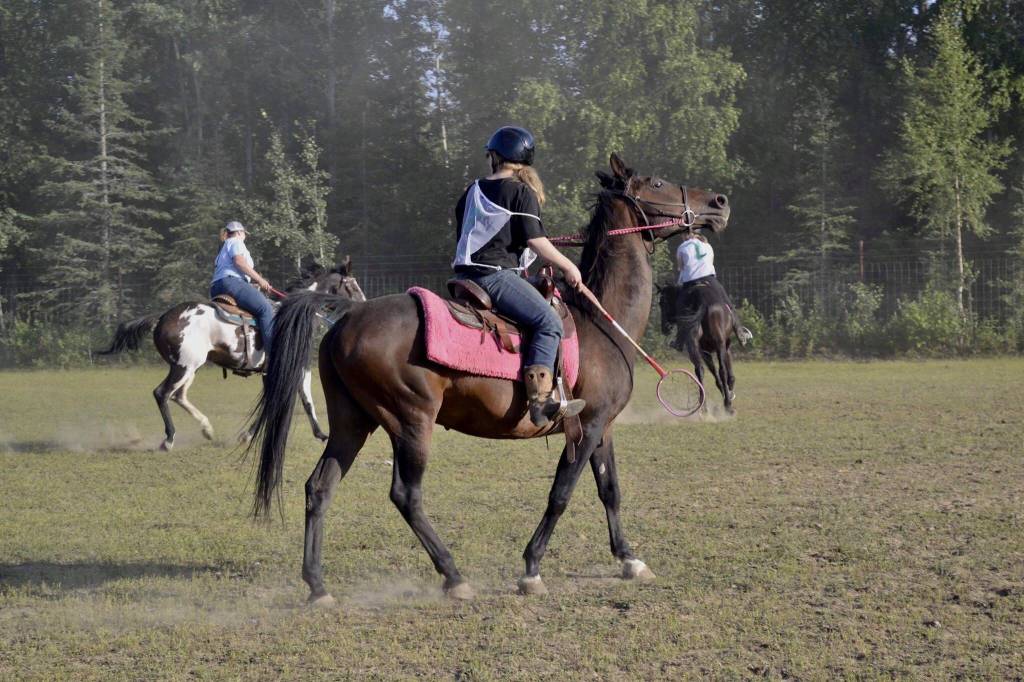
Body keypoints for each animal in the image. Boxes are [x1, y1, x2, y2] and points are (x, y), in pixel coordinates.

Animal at [99, 258, 366, 451]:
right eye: (352, 285)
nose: (364, 304)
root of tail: (163, 317)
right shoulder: (298, 367)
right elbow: (303, 400)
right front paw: (320, 434)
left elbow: (282, 401)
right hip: (184, 366)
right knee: (162, 393)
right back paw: (169, 439)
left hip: (190, 367)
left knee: (178, 396)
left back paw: (207, 429)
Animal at [658, 279, 737, 413]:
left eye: (662, 303)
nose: (665, 328)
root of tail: (703, 301)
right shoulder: (709, 351)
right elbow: (721, 374)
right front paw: (728, 393)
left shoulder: (707, 351)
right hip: (715, 345)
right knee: (720, 371)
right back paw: (726, 405)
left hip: (696, 344)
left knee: (701, 370)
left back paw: (706, 407)